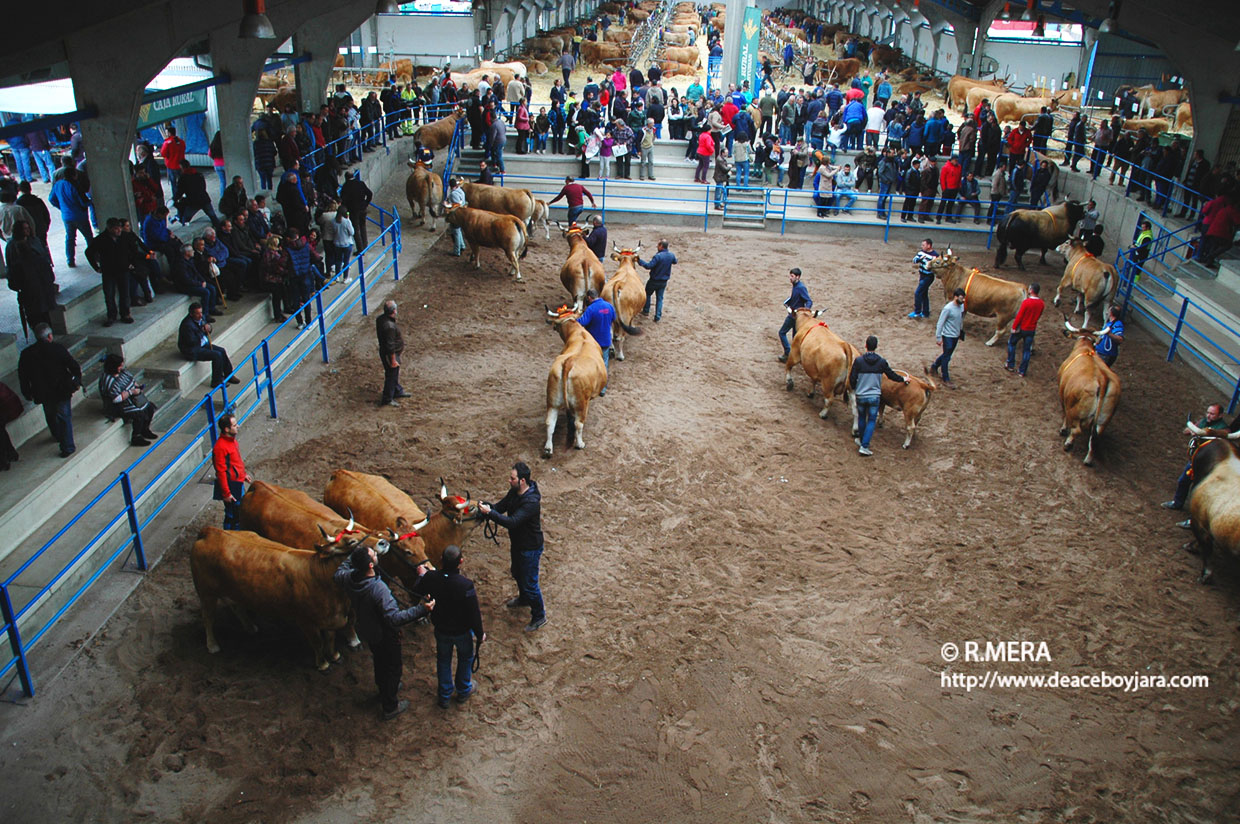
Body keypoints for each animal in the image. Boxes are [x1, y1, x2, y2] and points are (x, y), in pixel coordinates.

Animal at [189, 527, 359, 669]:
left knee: (236, 606)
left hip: (231, 590)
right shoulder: (305, 621)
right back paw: (212, 645)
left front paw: (335, 656)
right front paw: (323, 664)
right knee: (208, 618)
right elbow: (317, 643)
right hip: (205, 592)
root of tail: (211, 531)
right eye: (352, 542)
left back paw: (250, 628)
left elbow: (330, 638)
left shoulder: (330, 617)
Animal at [543, 304, 610, 455]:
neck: (579, 333)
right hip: (581, 403)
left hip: (552, 401)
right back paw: (580, 444)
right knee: (579, 424)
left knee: (550, 422)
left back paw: (548, 449)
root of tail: (569, 362)